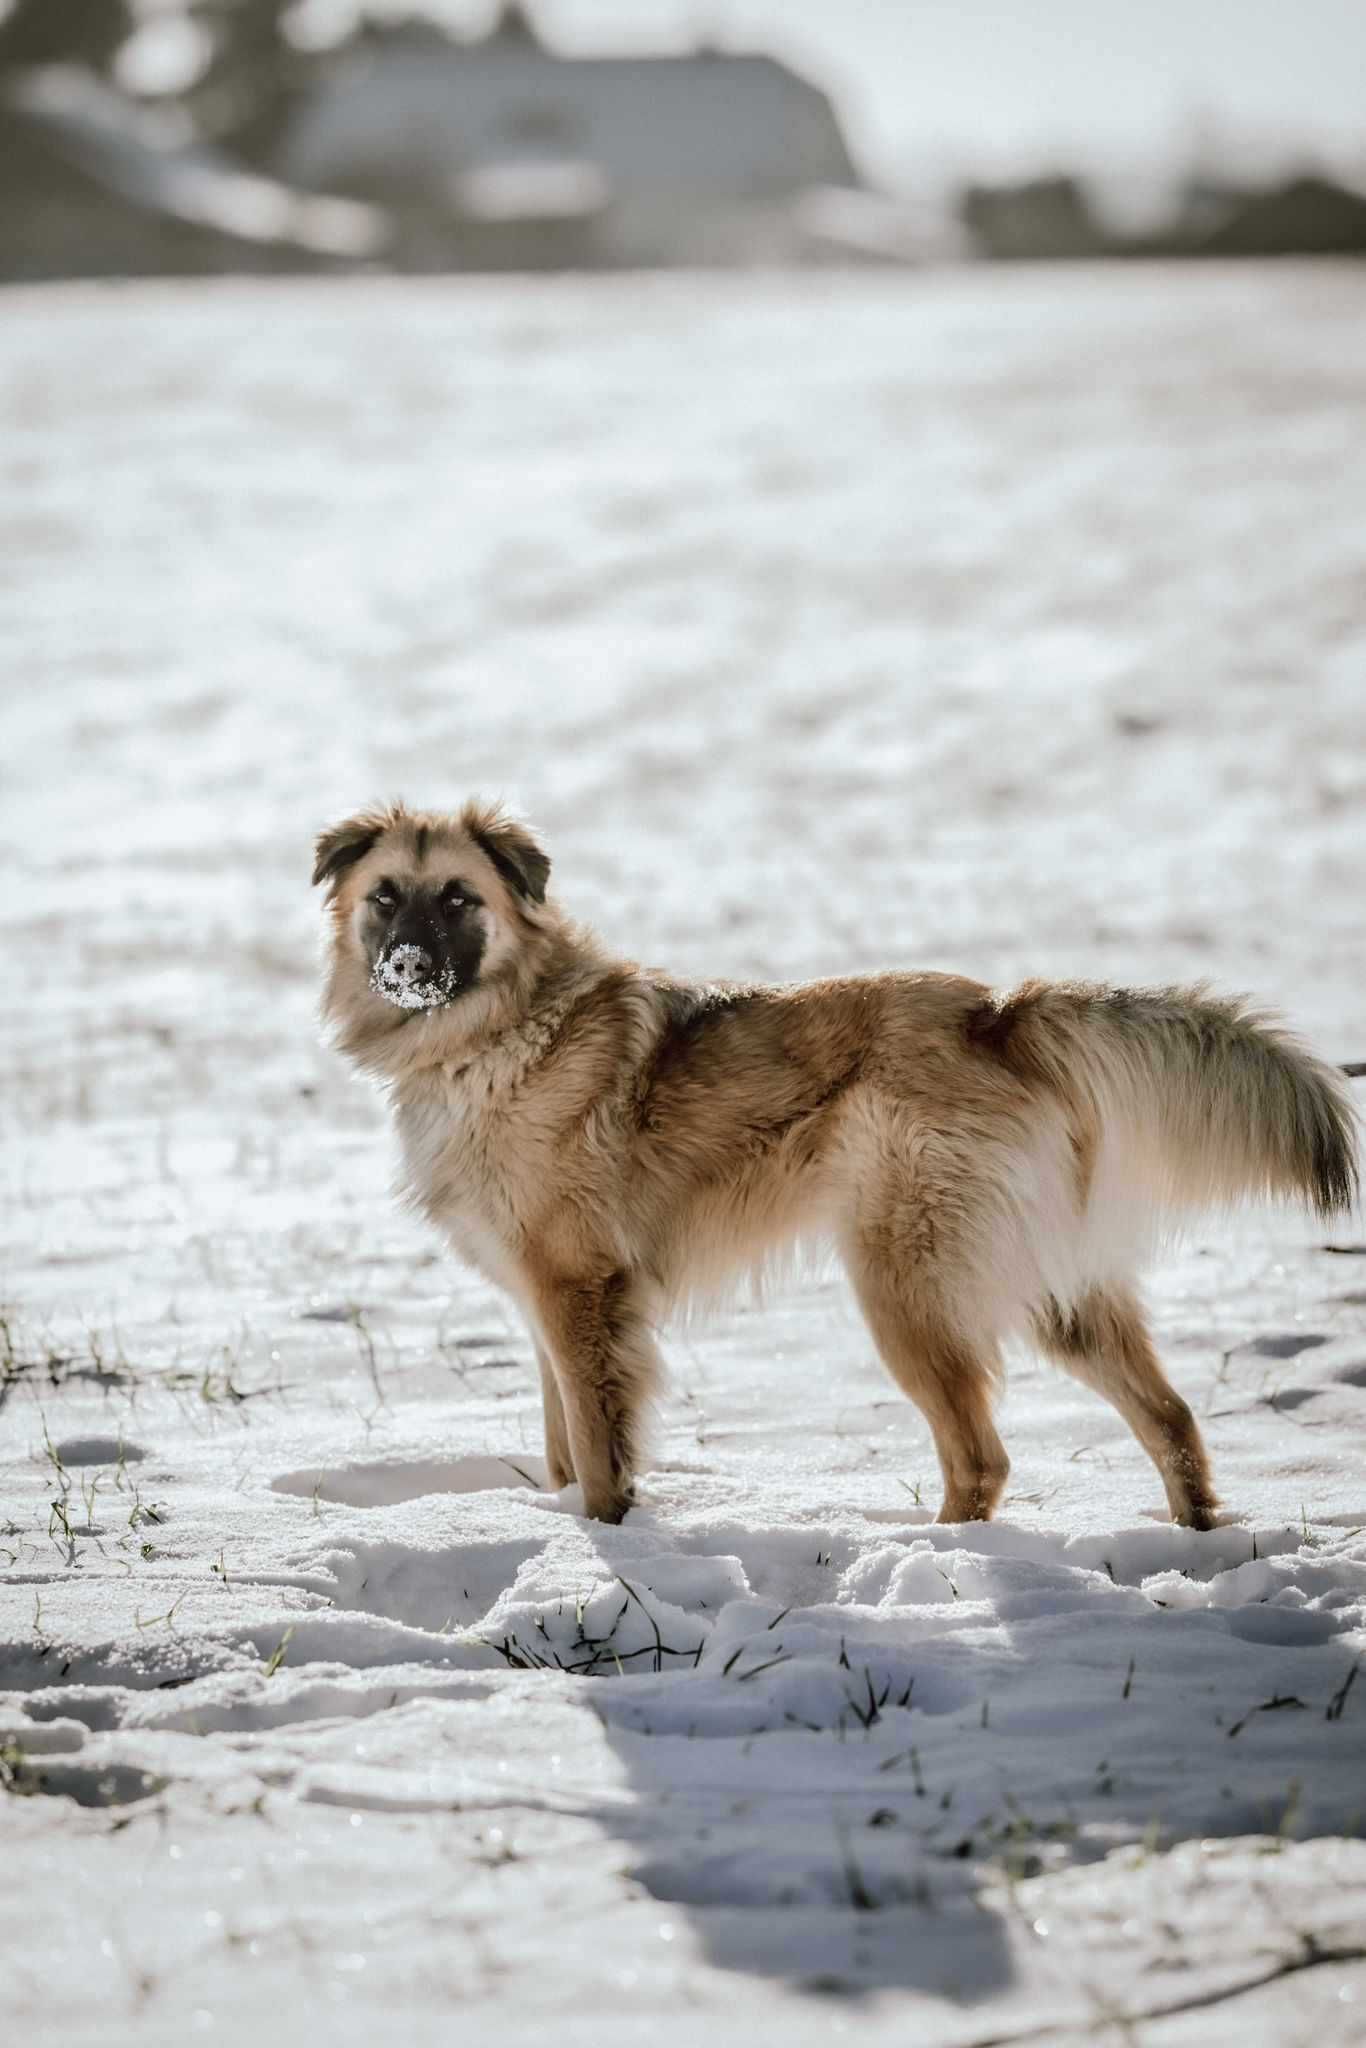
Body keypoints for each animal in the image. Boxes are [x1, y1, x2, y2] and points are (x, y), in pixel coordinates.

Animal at [313, 794, 1359, 1523]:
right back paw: (1195, 1540)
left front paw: (604, 1538)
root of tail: (999, 1016)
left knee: (982, 1457)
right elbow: (563, 1443)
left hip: (906, 1284)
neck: (502, 1033)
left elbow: (601, 1452)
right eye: (385, 899)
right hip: (1057, 1288)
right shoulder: (544, 1306)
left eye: (460, 898)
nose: (407, 968)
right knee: (1172, 1418)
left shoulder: (578, 1293)